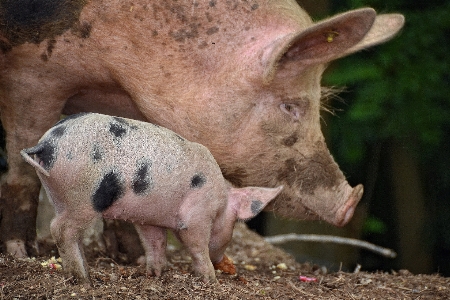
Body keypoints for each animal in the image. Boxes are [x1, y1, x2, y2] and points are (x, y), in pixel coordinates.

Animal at [0, 0, 404, 258]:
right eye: (291, 106)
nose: (350, 202)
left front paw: (132, 258)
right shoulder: (32, 73)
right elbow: (23, 165)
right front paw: (22, 255)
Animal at [22, 113, 282, 284]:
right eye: (235, 224)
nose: (222, 262)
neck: (221, 200)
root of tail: (47, 143)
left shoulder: (149, 219)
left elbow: (155, 242)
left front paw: (155, 274)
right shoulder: (197, 215)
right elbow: (196, 244)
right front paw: (210, 280)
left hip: (59, 194)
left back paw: (85, 271)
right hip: (83, 197)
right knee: (60, 229)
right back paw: (84, 279)